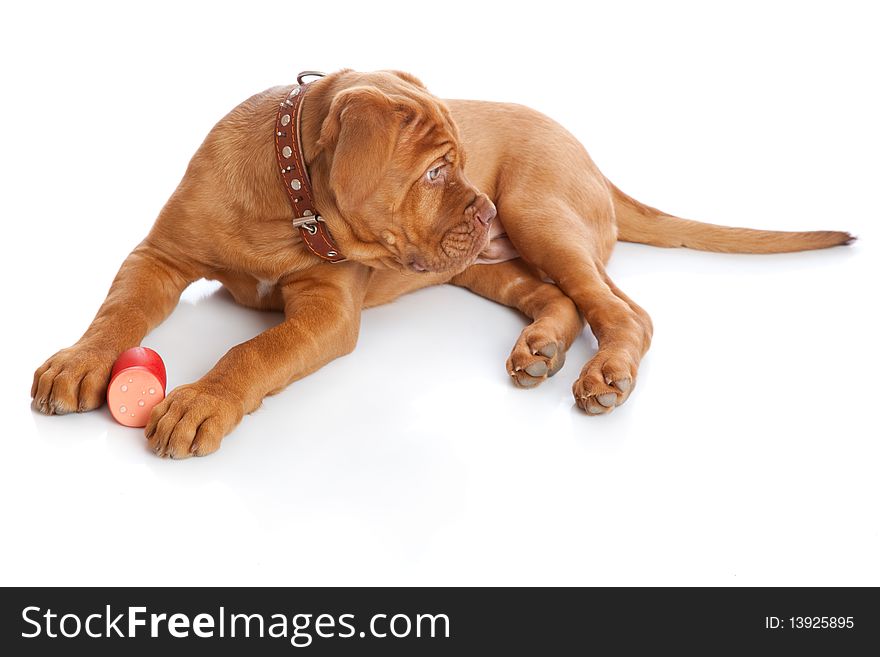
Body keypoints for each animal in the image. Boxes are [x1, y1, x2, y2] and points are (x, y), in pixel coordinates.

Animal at [29, 68, 852, 456]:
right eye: (433, 172)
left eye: (457, 162)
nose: (480, 207)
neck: (286, 201)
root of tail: (591, 155)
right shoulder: (158, 255)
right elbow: (118, 309)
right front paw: (80, 360)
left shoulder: (328, 311)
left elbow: (254, 350)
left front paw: (201, 400)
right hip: (484, 262)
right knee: (556, 299)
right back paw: (539, 348)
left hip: (541, 213)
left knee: (625, 309)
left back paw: (606, 377)